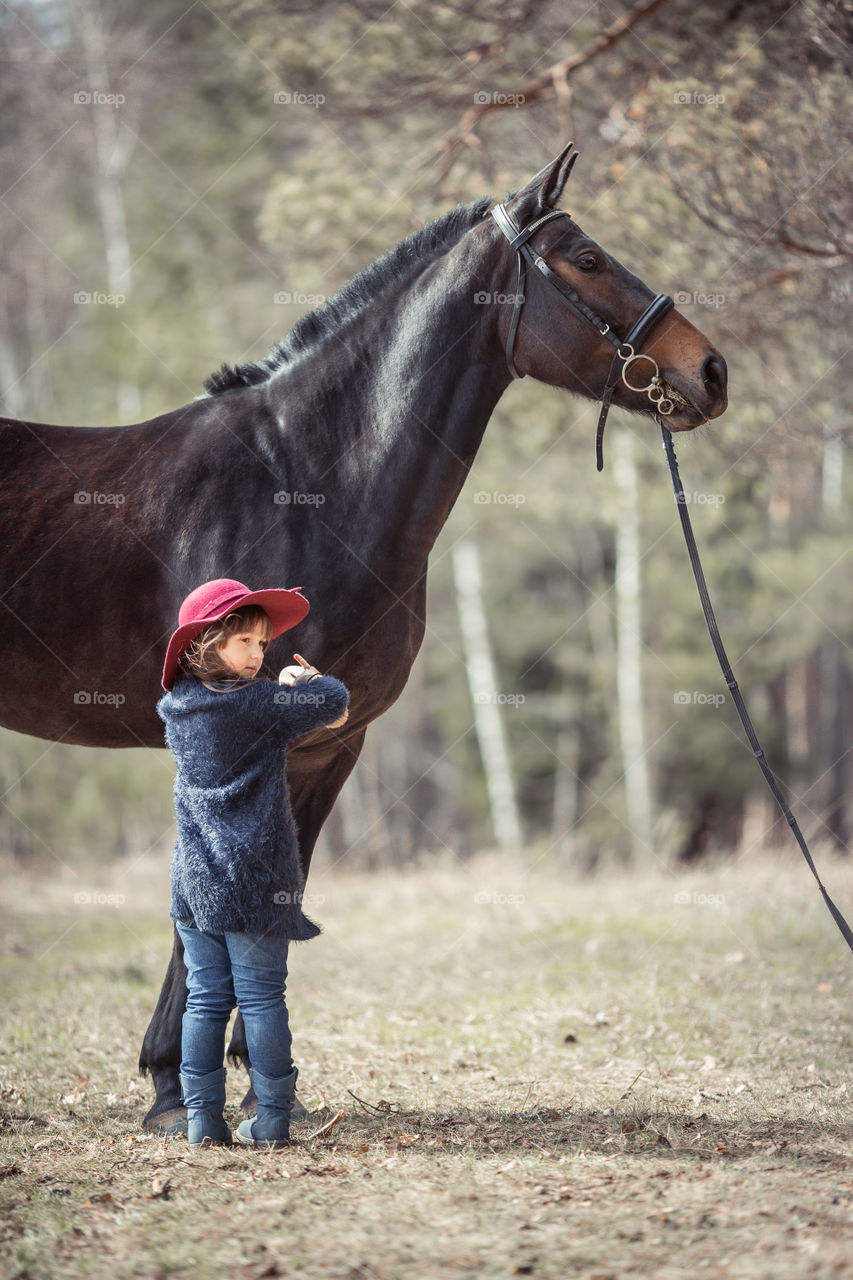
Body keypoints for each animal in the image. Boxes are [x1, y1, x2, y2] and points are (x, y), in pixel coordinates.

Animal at [0, 147, 722, 1131]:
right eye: (585, 258)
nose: (711, 370)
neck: (302, 481)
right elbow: (215, 888)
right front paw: (170, 1089)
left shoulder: (328, 745)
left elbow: (278, 886)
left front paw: (256, 1086)